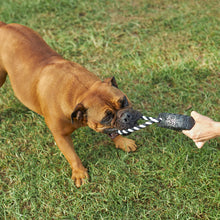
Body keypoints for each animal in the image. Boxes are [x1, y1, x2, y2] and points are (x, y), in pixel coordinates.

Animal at [0, 21, 141, 187]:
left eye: (124, 101)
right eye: (106, 117)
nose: (126, 116)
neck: (82, 91)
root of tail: (5, 25)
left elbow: (114, 132)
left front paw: (122, 142)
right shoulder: (61, 136)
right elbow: (72, 155)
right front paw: (79, 172)